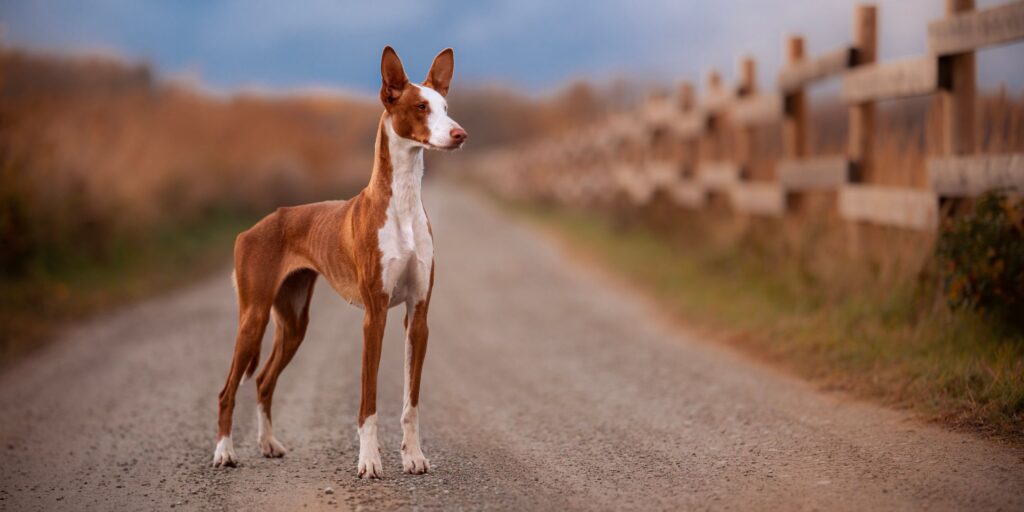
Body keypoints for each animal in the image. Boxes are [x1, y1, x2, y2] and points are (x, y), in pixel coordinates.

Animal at [211, 46, 468, 477]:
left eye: (446, 107)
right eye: (420, 106)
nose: (459, 134)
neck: (402, 204)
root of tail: (254, 227)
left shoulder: (418, 316)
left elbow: (411, 402)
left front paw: (413, 456)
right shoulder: (374, 315)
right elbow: (368, 403)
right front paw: (369, 461)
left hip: (294, 322)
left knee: (263, 381)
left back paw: (267, 443)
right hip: (254, 318)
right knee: (228, 388)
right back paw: (224, 452)